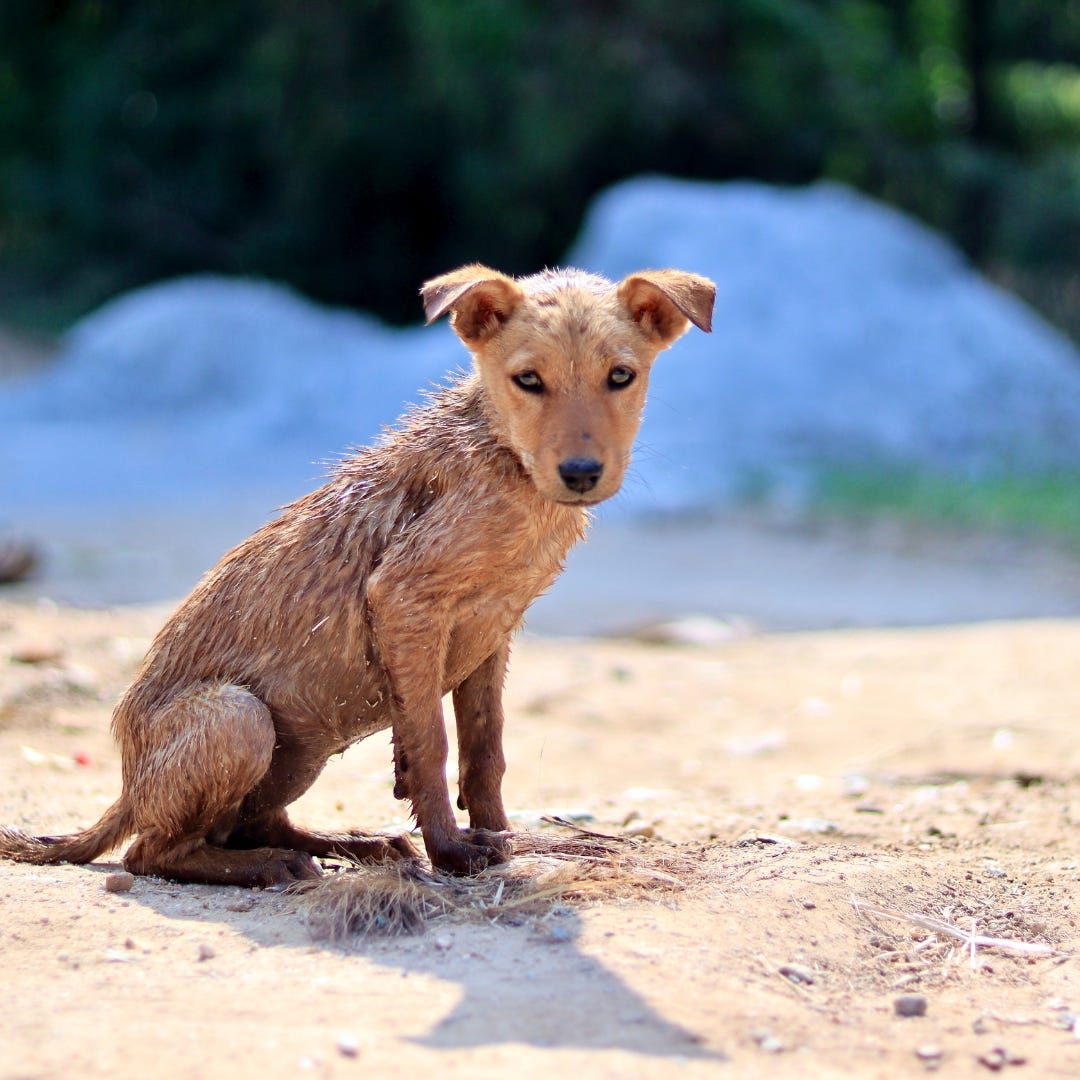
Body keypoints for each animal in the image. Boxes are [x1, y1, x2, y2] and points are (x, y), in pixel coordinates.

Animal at [0, 264, 715, 886]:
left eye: (620, 376)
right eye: (528, 380)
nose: (581, 473)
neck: (505, 462)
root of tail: (127, 787)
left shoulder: (494, 632)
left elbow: (486, 750)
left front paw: (503, 838)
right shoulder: (404, 598)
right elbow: (430, 743)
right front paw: (452, 852)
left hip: (299, 750)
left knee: (249, 822)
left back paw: (352, 845)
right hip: (239, 716)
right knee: (150, 852)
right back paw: (273, 867)